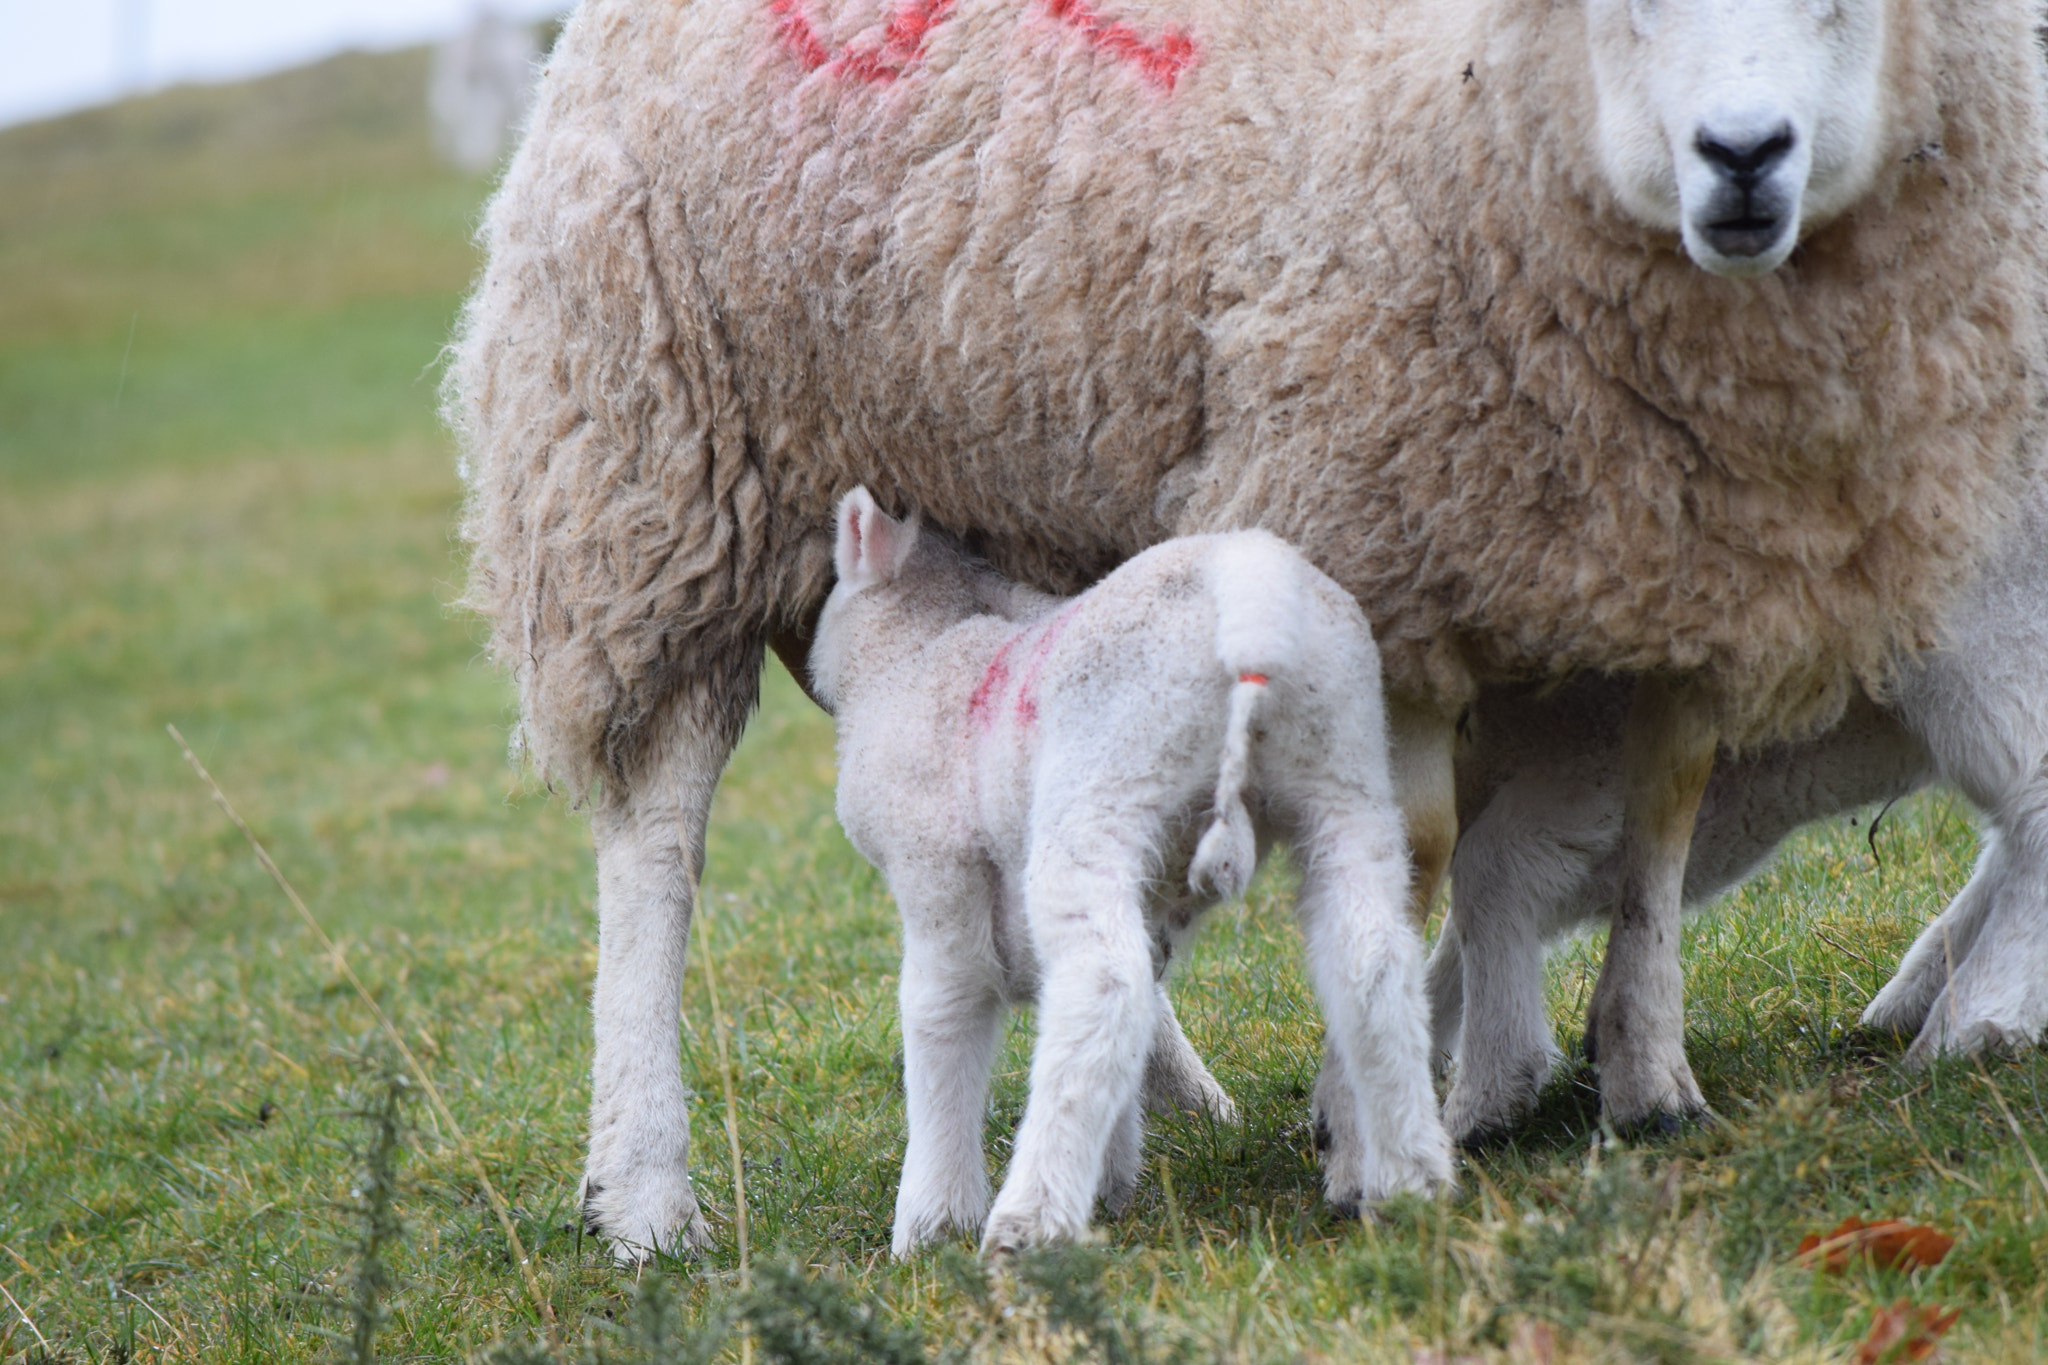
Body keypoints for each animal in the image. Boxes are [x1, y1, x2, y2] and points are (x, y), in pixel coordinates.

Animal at [811, 488, 1450, 1253]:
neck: (916, 650)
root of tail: (1250, 586)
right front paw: (1113, 1178)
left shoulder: (934, 864)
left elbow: (941, 1016)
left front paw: (931, 1224)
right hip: (1343, 769)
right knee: (1371, 963)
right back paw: (1411, 1182)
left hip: (1105, 788)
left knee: (1102, 989)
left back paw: (1029, 1221)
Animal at [1427, 480, 2048, 1141]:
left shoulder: (1589, 752)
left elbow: (1493, 868)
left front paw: (1486, 1099)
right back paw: (1915, 998)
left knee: (2031, 800)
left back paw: (1968, 1023)